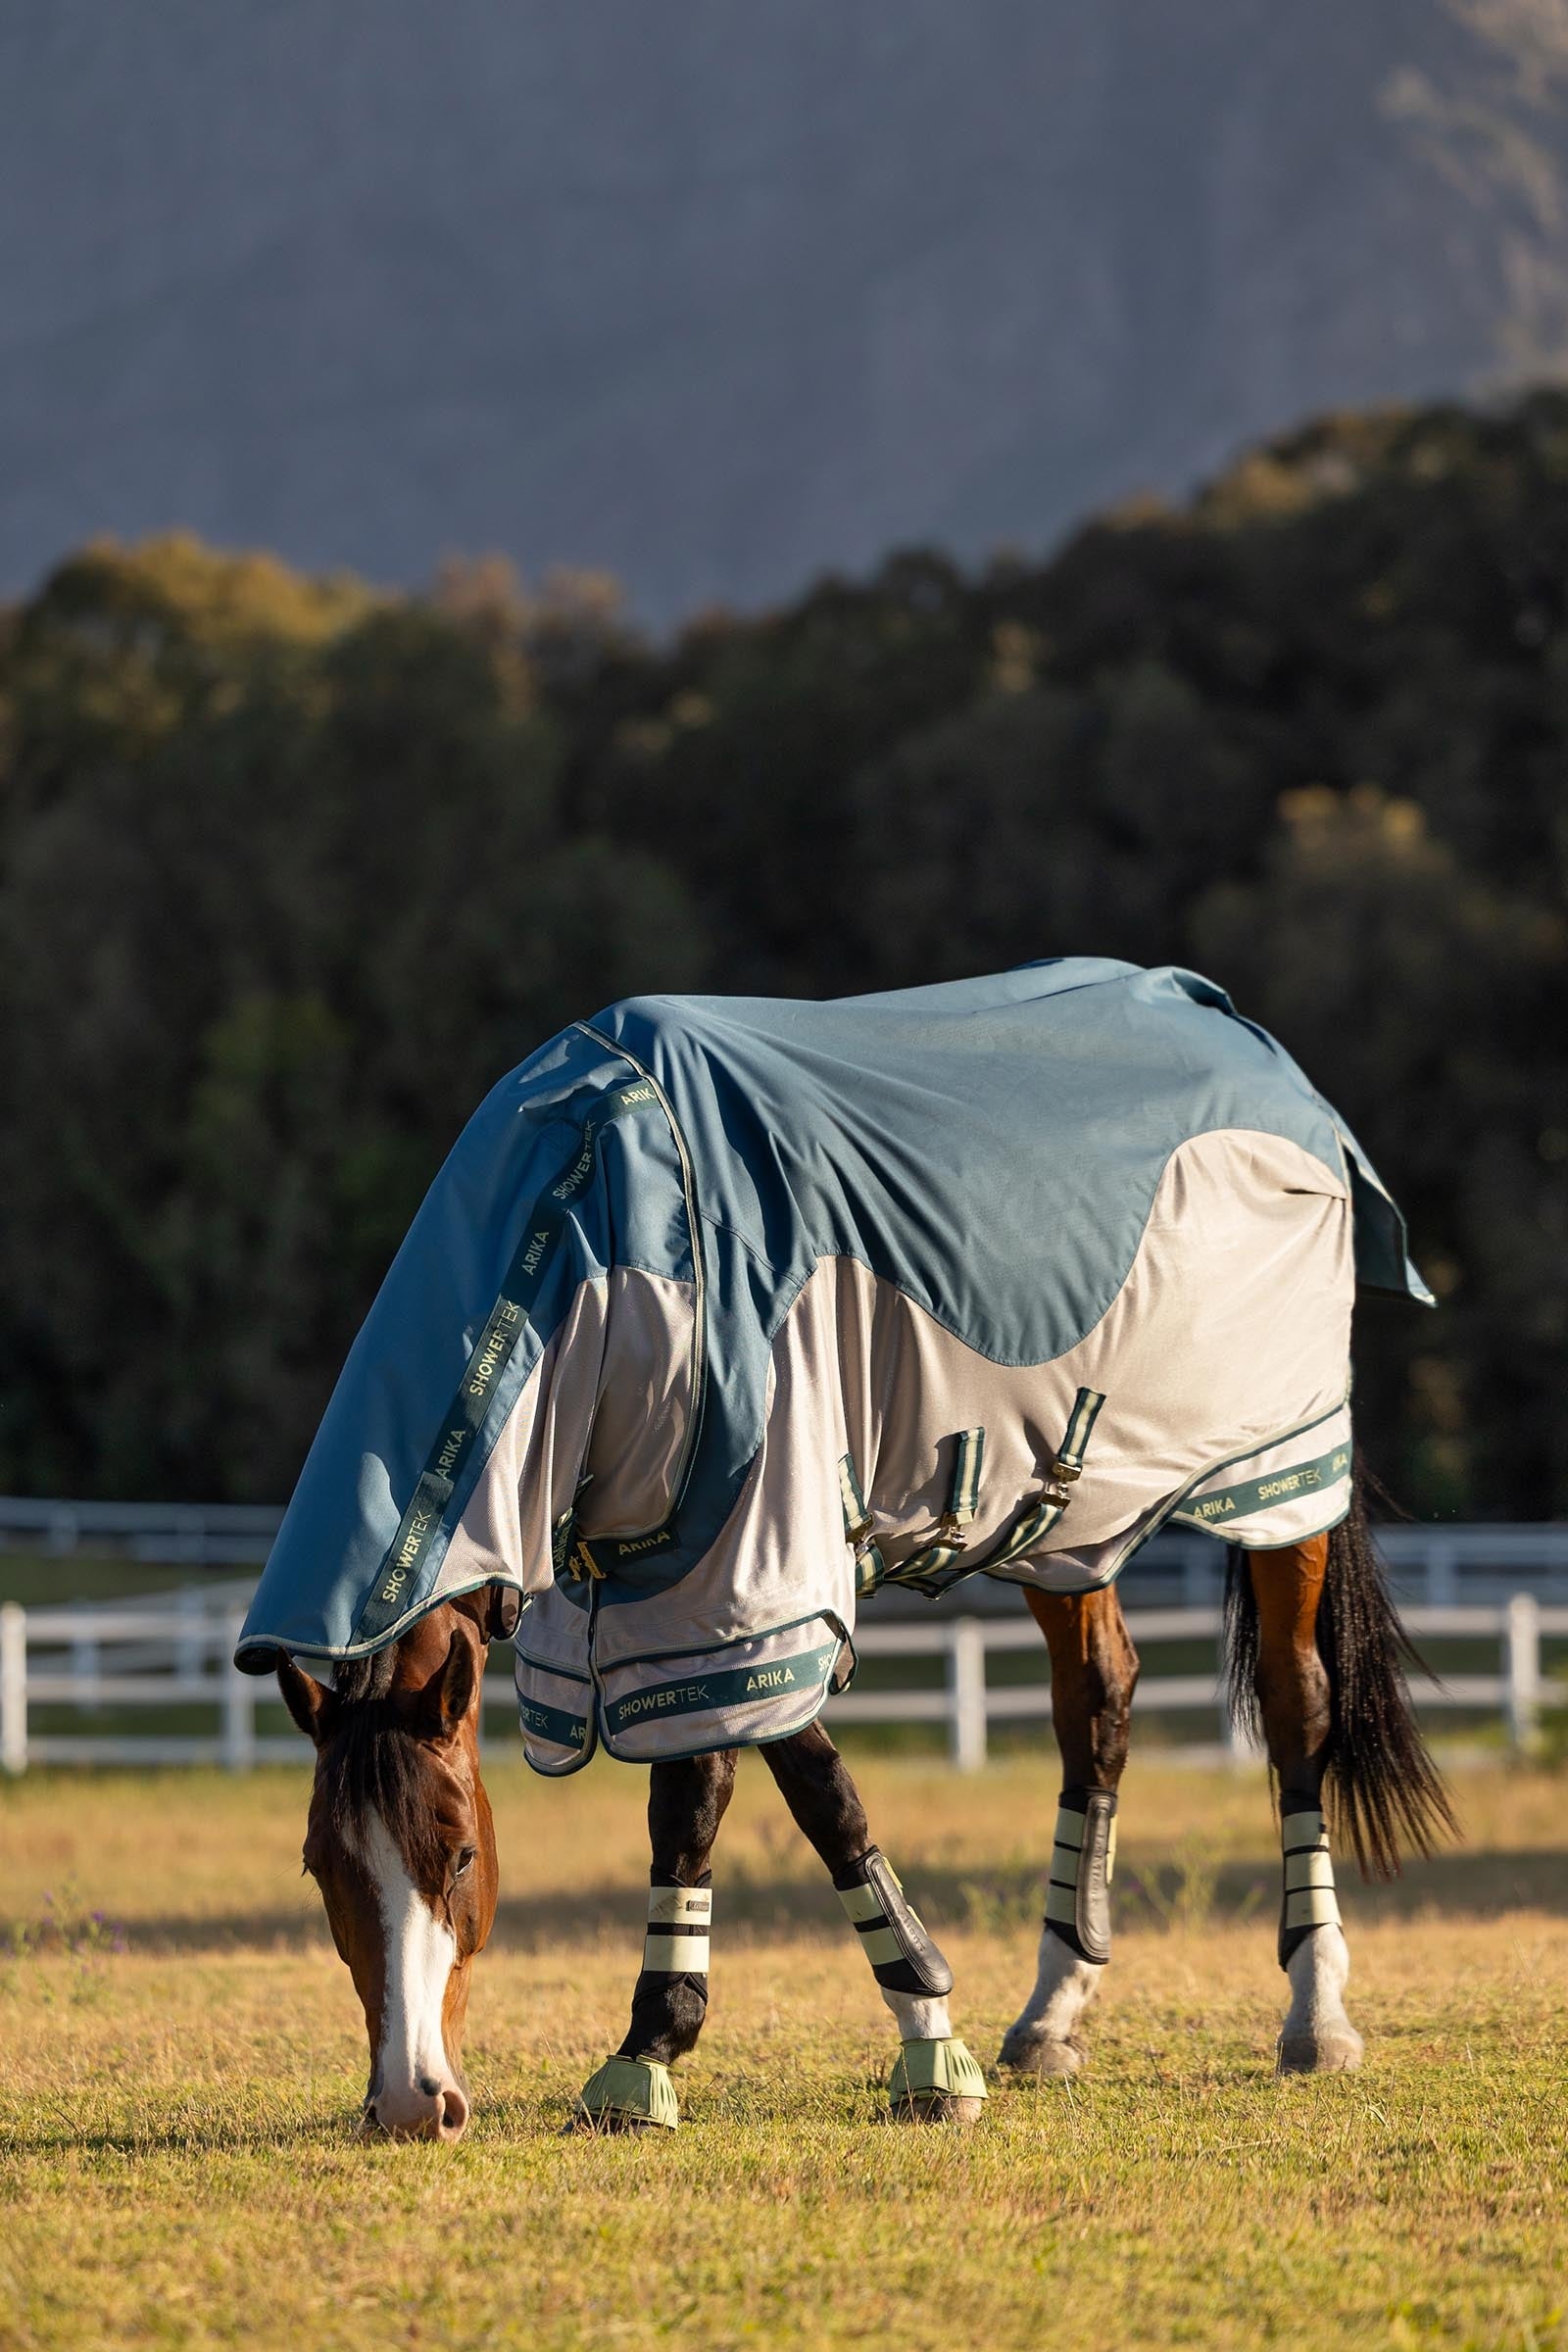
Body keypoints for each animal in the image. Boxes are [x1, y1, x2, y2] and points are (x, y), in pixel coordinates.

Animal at [243, 960, 1454, 2136]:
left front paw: (920, 2049)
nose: (412, 2103)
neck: (599, 1244)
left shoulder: (755, 1580)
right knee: (1096, 1708)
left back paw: (1316, 2010)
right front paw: (652, 2054)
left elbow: (809, 1799)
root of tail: (1238, 1032)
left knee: (1296, 1704)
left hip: (1280, 1478)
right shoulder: (646, 1595)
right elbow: (697, 1806)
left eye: (456, 1850)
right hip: (1069, 1522)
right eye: (318, 1867)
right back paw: (1053, 2011)